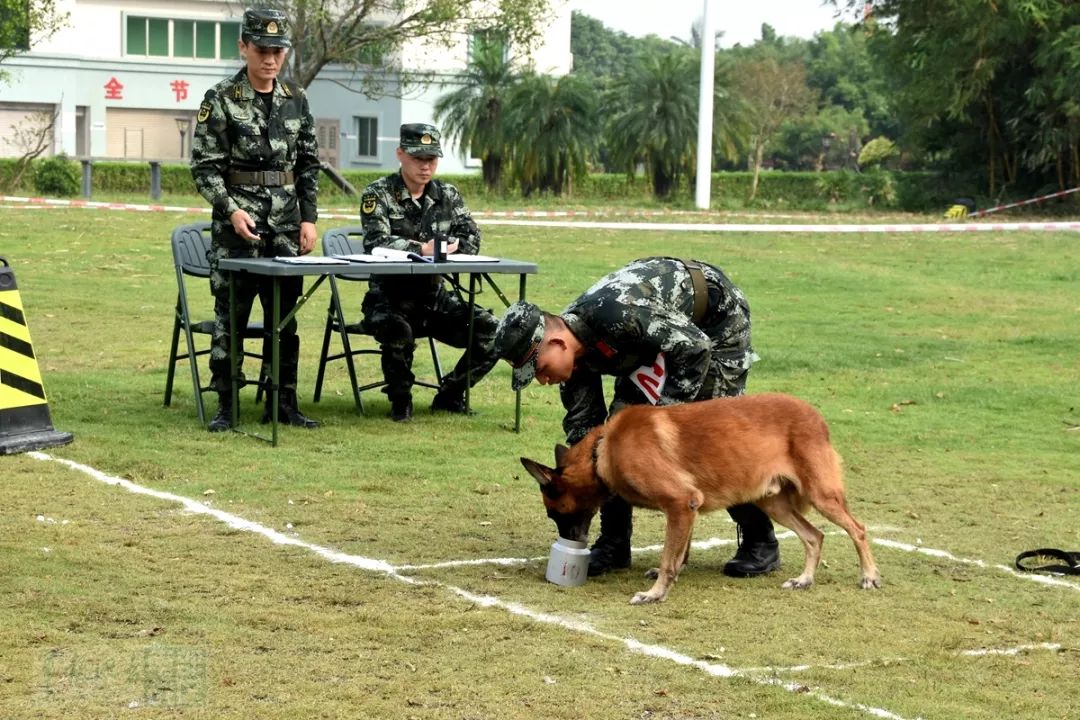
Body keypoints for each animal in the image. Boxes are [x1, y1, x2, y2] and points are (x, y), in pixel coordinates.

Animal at [518, 390, 881, 604]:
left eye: (554, 513)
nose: (572, 543)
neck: (602, 449)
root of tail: (816, 416)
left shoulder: (681, 502)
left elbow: (669, 559)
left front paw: (655, 594)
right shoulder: (685, 508)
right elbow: (679, 553)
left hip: (822, 496)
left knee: (857, 529)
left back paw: (869, 576)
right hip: (773, 502)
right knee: (815, 536)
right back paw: (805, 579)